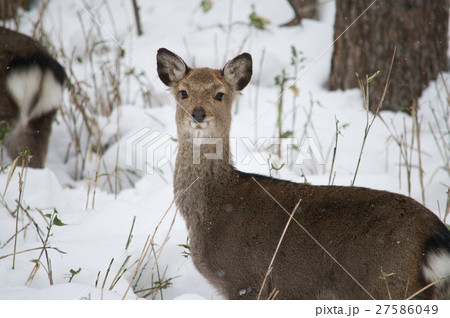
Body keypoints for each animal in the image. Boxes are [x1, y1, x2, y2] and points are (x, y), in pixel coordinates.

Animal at [156, 47, 450, 300]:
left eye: (219, 94)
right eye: (183, 92)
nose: (198, 114)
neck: (210, 210)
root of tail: (434, 235)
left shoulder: (246, 280)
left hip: (386, 283)